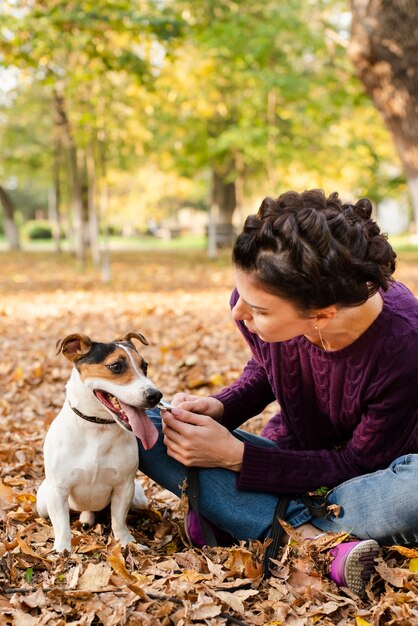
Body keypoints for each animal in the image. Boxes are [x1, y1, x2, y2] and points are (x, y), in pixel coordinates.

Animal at [36, 332, 163, 552]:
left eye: (145, 366)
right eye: (116, 366)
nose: (155, 395)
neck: (98, 429)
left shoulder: (125, 487)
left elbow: (119, 520)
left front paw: (127, 543)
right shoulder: (57, 490)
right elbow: (62, 524)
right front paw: (62, 550)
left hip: (138, 497)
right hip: (43, 502)